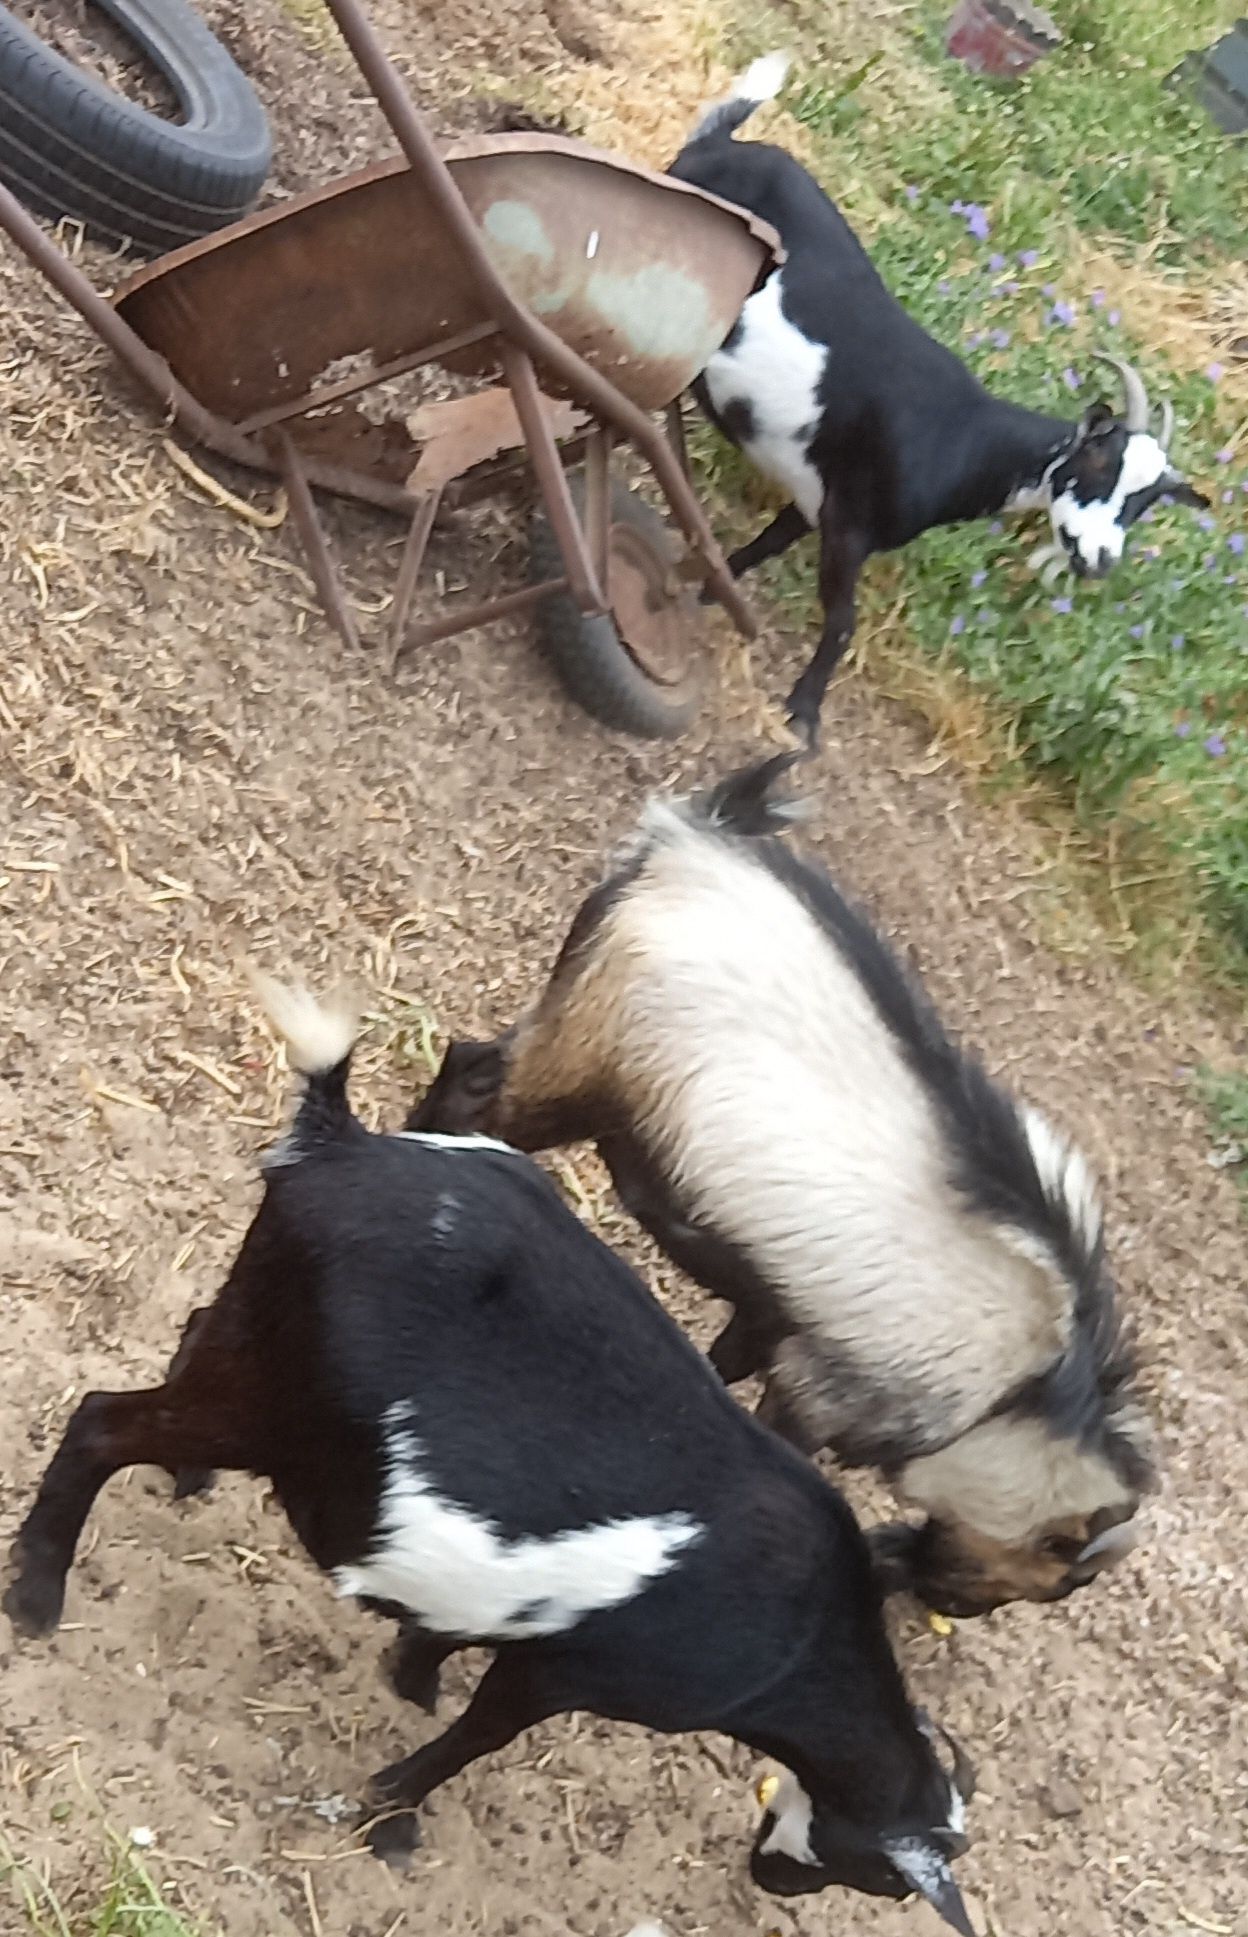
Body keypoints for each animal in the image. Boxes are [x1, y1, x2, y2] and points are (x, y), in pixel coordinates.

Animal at [2, 991, 976, 1929]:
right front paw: (392, 1811)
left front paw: (410, 1675)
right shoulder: (565, 1668)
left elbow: (445, 1631)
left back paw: (183, 1482)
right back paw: (37, 1595)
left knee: (195, 1330)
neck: (797, 1638)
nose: (773, 1880)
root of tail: (340, 1138)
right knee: (101, 1422)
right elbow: (482, 1734)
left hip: (255, 1332)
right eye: (882, 1878)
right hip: (267, 1404)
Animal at [414, 755, 1154, 1619]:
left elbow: (722, 1368)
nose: (952, 1601)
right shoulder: (820, 1391)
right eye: (1051, 1573)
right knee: (476, 1089)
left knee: (467, 1064)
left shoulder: (769, 1319)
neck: (1019, 1386)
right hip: (575, 1071)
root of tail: (694, 836)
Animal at [674, 51, 1209, 747]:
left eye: (1146, 504)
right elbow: (842, 622)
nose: (1099, 561)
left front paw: (704, 591)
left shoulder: (818, 497)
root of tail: (722, 141)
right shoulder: (849, 525)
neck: (963, 442)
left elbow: (762, 547)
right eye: (1099, 461)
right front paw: (804, 711)